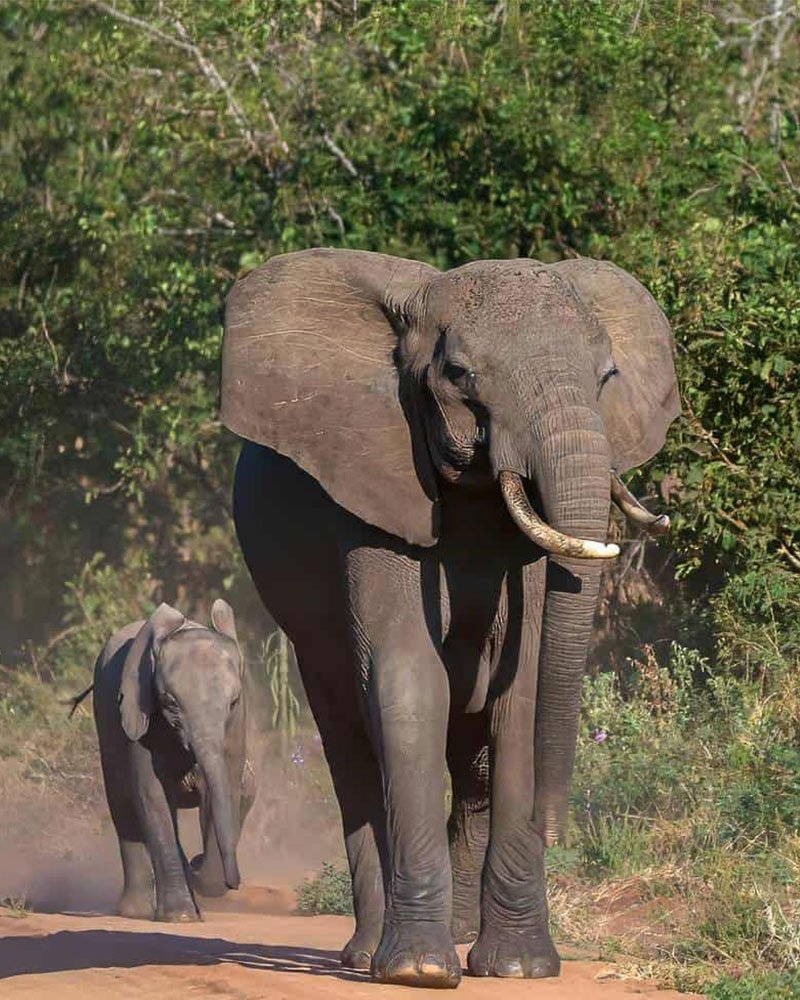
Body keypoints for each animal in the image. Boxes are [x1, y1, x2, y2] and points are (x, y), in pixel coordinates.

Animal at [87, 599, 254, 921]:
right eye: (171, 703)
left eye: (233, 702)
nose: (236, 883)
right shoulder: (138, 712)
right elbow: (153, 795)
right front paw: (181, 917)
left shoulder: (236, 725)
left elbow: (227, 785)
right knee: (123, 807)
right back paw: (136, 912)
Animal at [220, 249, 679, 987]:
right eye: (460, 376)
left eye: (607, 377)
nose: (555, 826)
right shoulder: (375, 487)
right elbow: (409, 685)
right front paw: (419, 971)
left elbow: (521, 695)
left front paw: (519, 969)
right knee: (352, 747)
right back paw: (368, 954)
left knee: (474, 764)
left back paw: (462, 934)